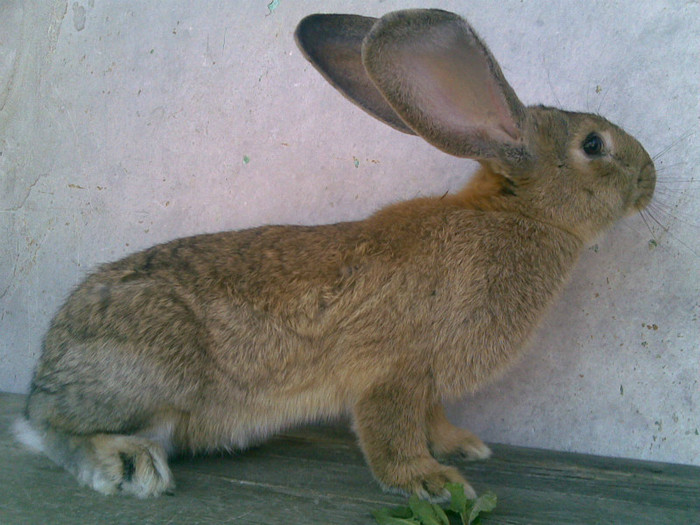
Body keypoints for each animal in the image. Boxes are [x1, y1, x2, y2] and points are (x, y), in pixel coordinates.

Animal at [12, 9, 656, 500]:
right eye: (593, 145)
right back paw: (130, 465)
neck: (520, 215)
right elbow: (390, 430)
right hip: (148, 375)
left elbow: (431, 419)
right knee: (54, 429)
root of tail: (48, 369)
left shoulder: (427, 383)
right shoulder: (393, 369)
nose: (650, 180)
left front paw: (462, 447)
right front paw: (431, 482)